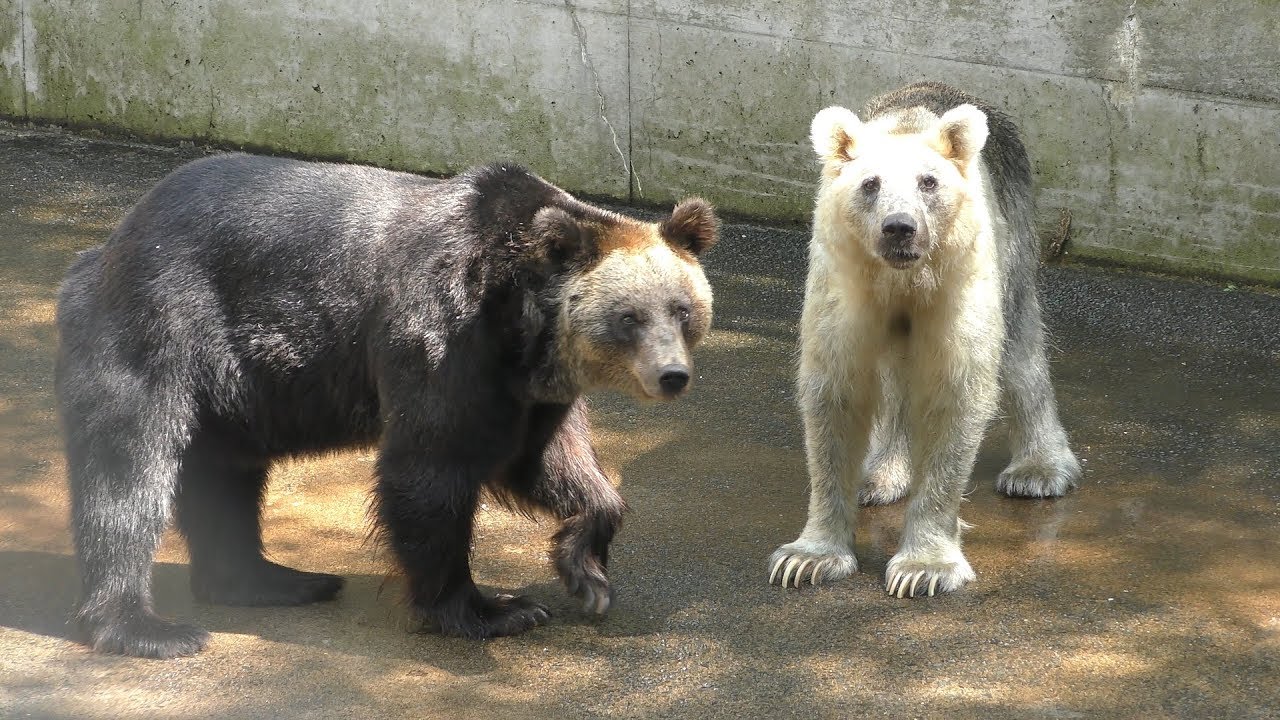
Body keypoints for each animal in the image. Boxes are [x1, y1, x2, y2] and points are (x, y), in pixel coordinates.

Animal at [54, 154, 718, 658]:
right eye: (629, 317)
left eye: (682, 309)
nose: (673, 376)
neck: (519, 320)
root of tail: (106, 245)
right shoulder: (441, 338)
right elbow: (429, 469)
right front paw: (493, 608)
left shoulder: (527, 391)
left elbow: (549, 461)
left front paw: (586, 572)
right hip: (160, 328)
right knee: (128, 470)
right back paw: (146, 626)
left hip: (234, 394)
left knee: (226, 478)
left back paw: (275, 579)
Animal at [768, 82, 1081, 597]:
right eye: (870, 183)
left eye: (928, 182)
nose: (900, 227)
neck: (903, 279)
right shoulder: (844, 281)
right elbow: (835, 392)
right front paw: (808, 558)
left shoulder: (958, 279)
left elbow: (954, 392)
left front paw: (924, 567)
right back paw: (879, 476)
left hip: (1012, 232)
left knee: (1020, 347)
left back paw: (1040, 469)